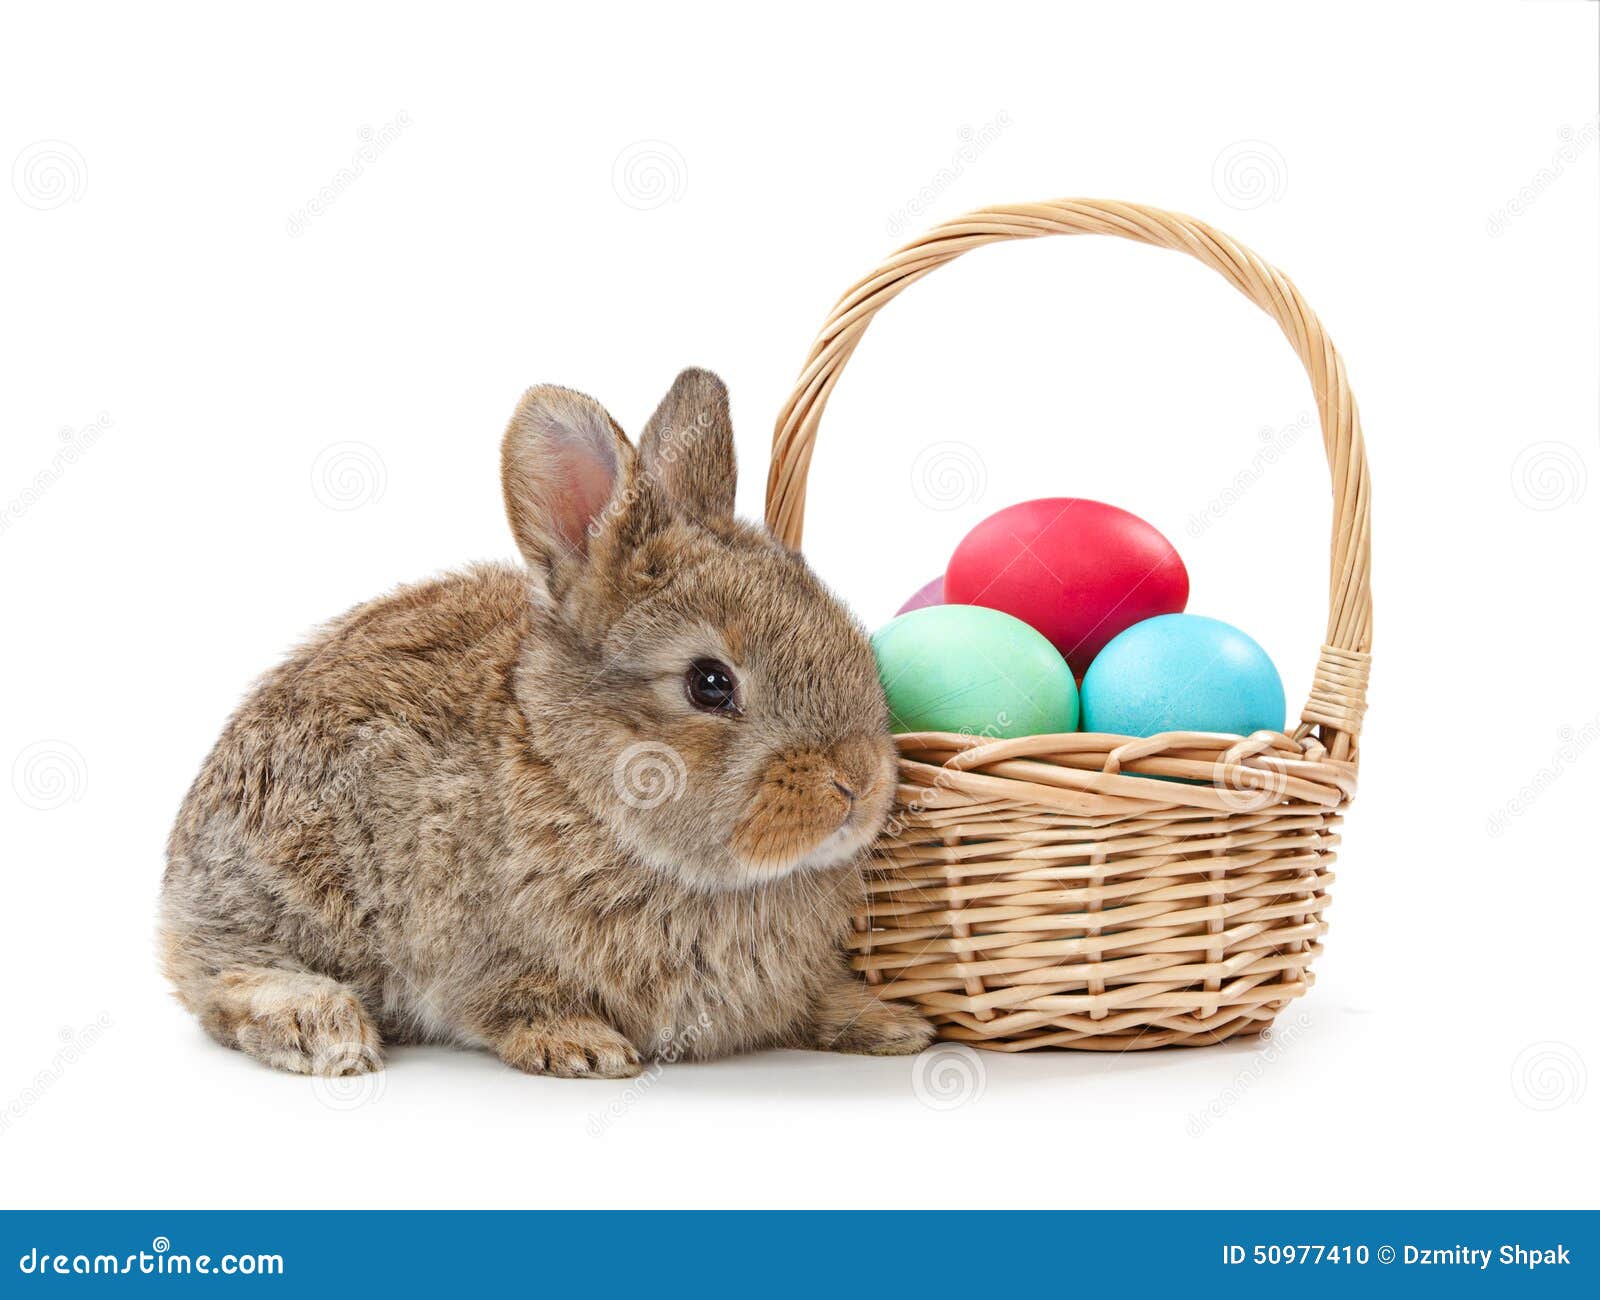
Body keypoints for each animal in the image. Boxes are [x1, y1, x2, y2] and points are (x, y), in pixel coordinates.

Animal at [158, 368, 934, 1079]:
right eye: (710, 684)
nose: (859, 781)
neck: (579, 784)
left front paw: (890, 1024)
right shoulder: (476, 949)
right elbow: (516, 998)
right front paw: (582, 1047)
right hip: (289, 892)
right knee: (217, 983)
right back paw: (324, 1028)